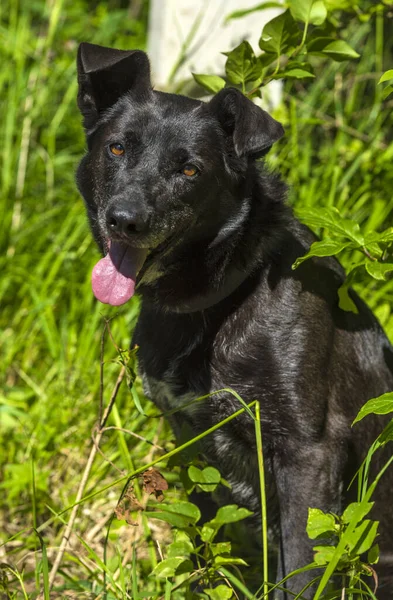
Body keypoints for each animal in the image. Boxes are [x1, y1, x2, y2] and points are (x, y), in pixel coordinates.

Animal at [76, 42, 392, 596]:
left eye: (190, 170)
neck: (221, 302)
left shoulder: (309, 454)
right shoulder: (190, 442)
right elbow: (204, 540)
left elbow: (302, 571)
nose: (125, 220)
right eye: (116, 149)